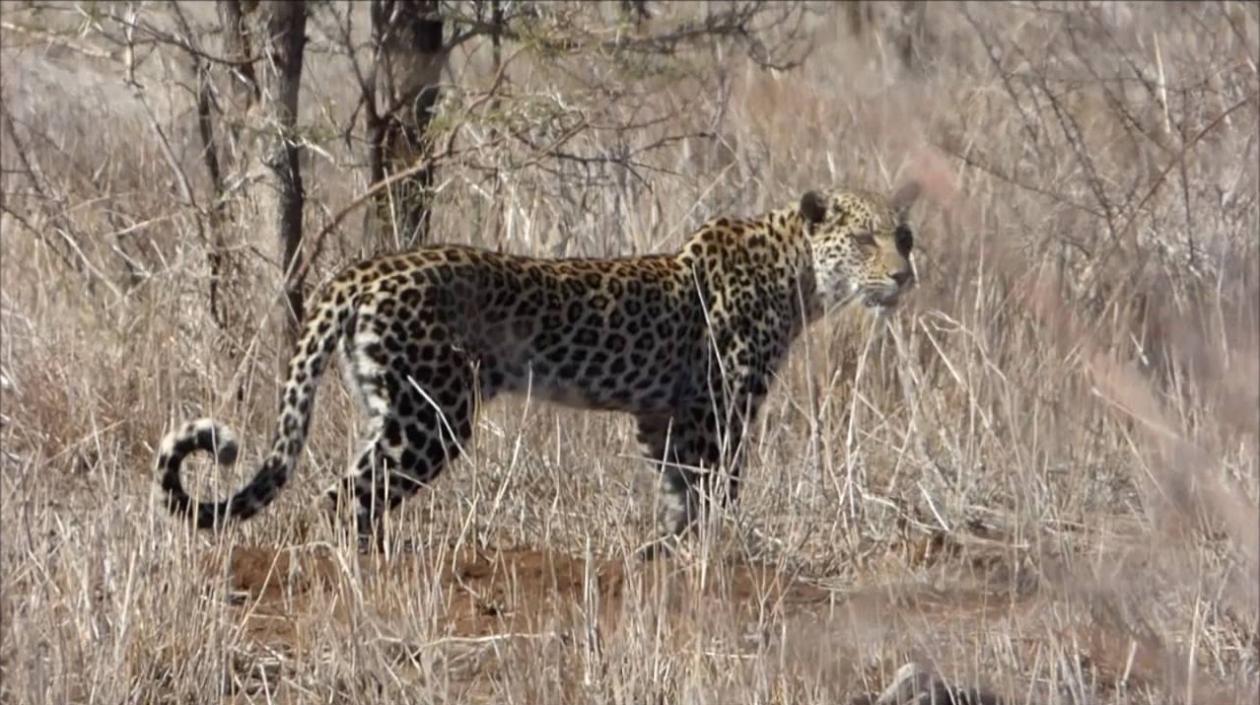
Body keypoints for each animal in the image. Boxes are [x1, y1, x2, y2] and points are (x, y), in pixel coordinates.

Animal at [157, 183, 922, 555]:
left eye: (904, 236)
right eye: (863, 239)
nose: (903, 274)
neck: (799, 277)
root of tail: (360, 270)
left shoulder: (662, 417)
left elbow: (678, 493)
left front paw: (661, 557)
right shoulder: (719, 409)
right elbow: (714, 490)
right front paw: (709, 561)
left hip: (389, 402)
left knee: (352, 490)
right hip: (430, 414)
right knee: (346, 497)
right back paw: (373, 572)